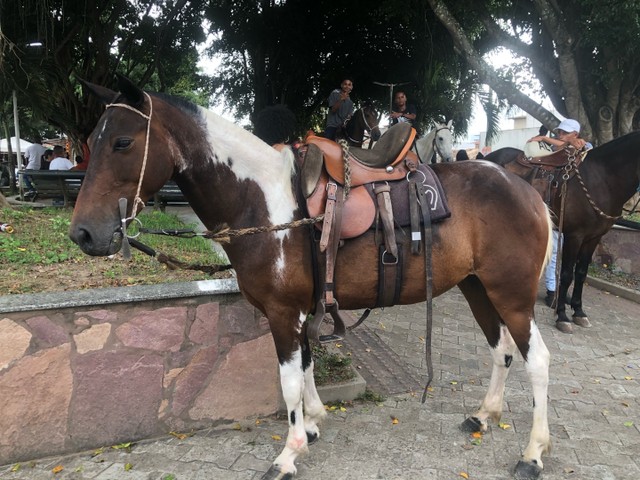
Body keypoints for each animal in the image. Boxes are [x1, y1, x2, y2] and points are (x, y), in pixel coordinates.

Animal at [484, 133, 640, 332]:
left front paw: (579, 312)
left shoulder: (593, 238)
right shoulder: (575, 235)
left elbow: (580, 273)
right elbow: (566, 275)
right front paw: (562, 316)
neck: (602, 180)